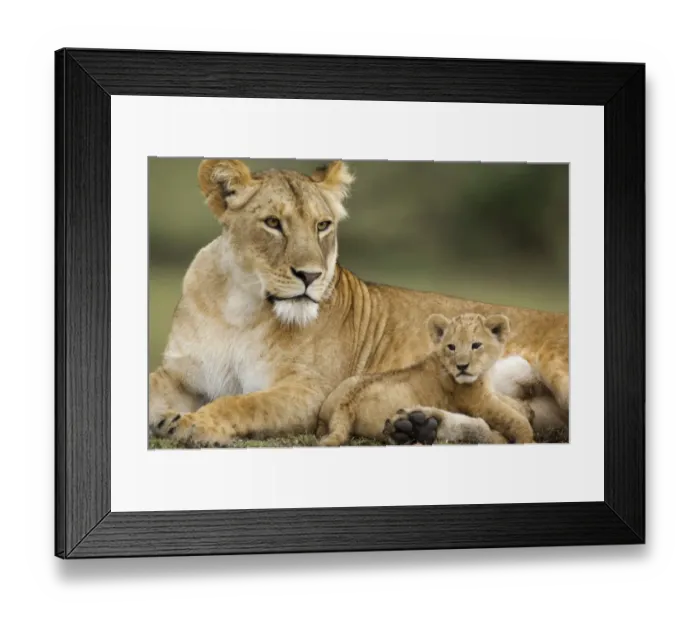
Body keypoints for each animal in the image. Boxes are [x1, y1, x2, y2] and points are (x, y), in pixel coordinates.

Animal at [317, 312, 536, 447]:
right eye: (451, 347)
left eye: (476, 345)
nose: (462, 366)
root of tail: (347, 404)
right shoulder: (479, 402)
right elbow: (513, 418)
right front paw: (527, 435)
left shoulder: (489, 393)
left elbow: (508, 402)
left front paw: (526, 409)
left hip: (351, 382)